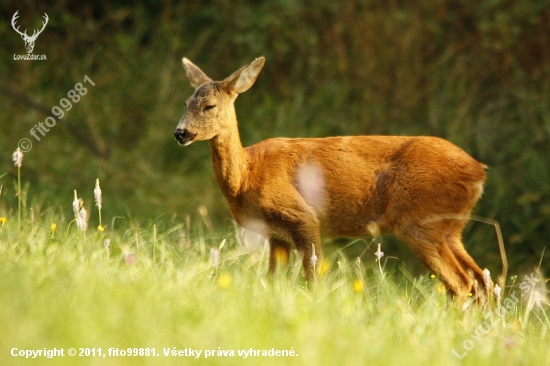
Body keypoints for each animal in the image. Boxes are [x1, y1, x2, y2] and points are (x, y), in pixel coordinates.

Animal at [174, 57, 492, 298]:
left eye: (210, 106)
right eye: (187, 101)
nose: (180, 133)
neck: (246, 176)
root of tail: (478, 171)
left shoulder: (302, 216)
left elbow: (313, 278)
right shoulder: (276, 234)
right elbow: (273, 280)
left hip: (421, 222)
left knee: (462, 284)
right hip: (449, 228)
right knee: (481, 280)